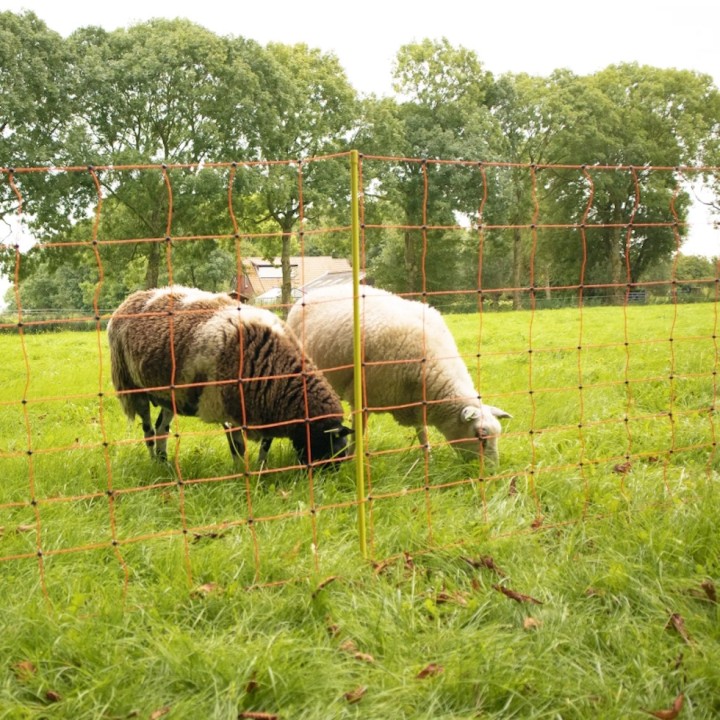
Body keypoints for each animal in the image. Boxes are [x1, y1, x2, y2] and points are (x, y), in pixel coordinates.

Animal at [107, 285, 351, 469]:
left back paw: (165, 464)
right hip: (132, 387)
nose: (327, 477)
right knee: (148, 431)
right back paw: (156, 464)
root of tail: (132, 297)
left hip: (171, 396)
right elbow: (238, 447)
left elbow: (266, 444)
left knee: (161, 430)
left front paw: (261, 470)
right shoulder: (225, 406)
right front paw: (242, 474)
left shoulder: (267, 407)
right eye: (330, 447)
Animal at [286, 284, 510, 463]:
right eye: (480, 435)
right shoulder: (362, 395)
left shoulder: (416, 400)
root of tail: (316, 290)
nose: (492, 471)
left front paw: (428, 457)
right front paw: (352, 460)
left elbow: (422, 432)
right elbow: (358, 431)